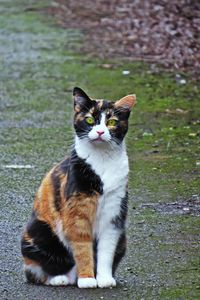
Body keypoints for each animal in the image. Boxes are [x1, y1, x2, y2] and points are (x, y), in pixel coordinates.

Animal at [20, 86, 136, 288]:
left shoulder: (114, 216)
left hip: (123, 238)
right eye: (89, 119)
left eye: (112, 122)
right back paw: (60, 279)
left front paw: (104, 279)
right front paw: (88, 279)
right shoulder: (77, 214)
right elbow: (82, 249)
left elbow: (106, 251)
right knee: (36, 271)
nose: (100, 132)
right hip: (39, 231)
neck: (102, 162)